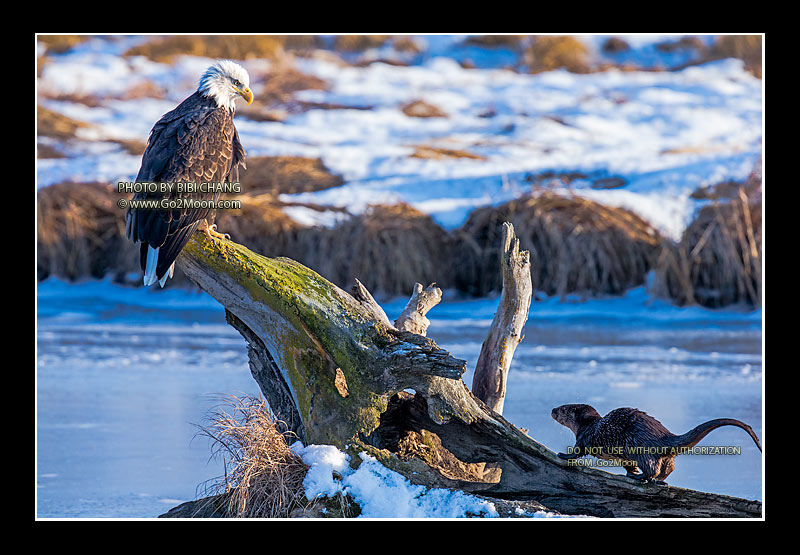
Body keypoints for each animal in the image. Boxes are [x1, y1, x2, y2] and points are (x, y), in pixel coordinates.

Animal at [551, 404, 762, 484]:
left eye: (562, 409)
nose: (552, 410)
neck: (590, 424)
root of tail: (662, 435)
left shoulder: (584, 436)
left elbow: (577, 451)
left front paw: (563, 455)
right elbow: (628, 464)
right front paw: (631, 471)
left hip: (637, 446)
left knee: (651, 467)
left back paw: (641, 477)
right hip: (659, 454)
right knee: (669, 467)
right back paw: (657, 479)